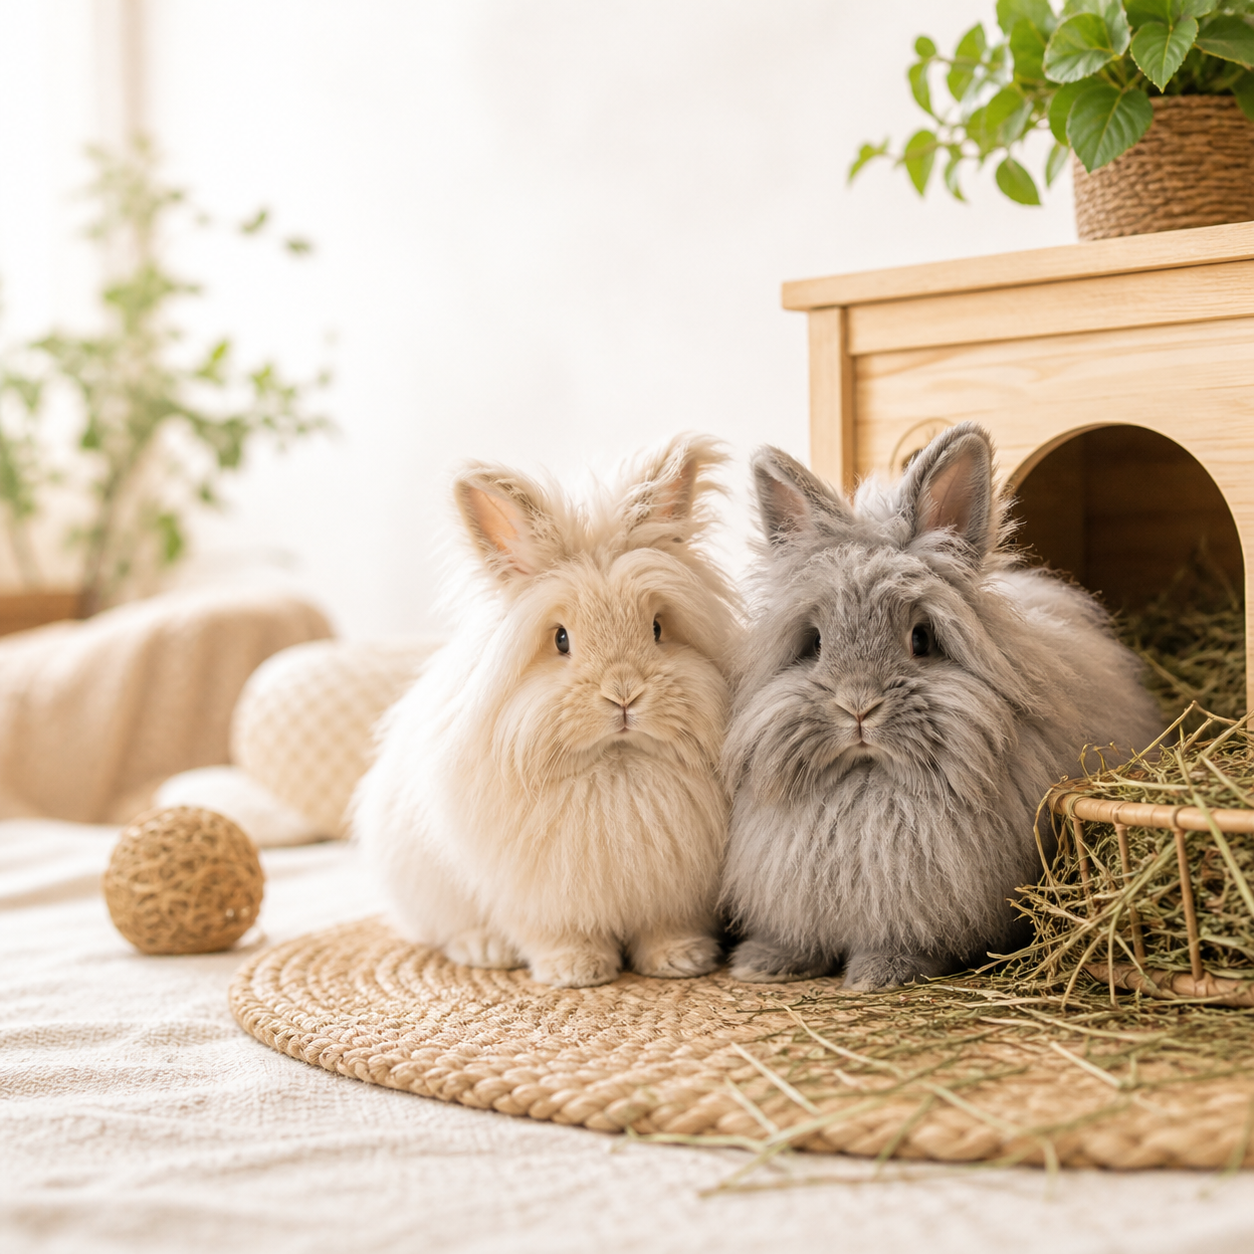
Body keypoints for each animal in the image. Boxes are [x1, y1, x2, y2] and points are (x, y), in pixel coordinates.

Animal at [353, 435, 739, 988]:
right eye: (561, 639)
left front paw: (681, 960)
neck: (616, 765)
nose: (623, 694)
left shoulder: (674, 894)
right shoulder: (535, 898)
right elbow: (556, 932)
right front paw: (575, 971)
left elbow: (666, 927)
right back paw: (486, 949)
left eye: (658, 628)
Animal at [720, 421, 1163, 991]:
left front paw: (880, 974)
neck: (868, 782)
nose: (858, 707)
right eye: (814, 642)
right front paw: (763, 962)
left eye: (921, 639)